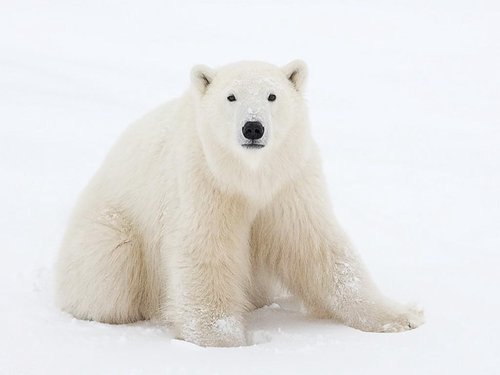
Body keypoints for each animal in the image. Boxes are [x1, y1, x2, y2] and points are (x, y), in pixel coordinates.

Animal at [53, 61, 422, 346]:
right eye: (231, 96)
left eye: (272, 95)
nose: (253, 127)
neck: (248, 175)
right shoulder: (203, 179)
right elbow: (205, 248)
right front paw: (223, 339)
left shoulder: (289, 181)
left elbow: (316, 246)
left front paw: (401, 317)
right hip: (110, 229)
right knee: (109, 272)